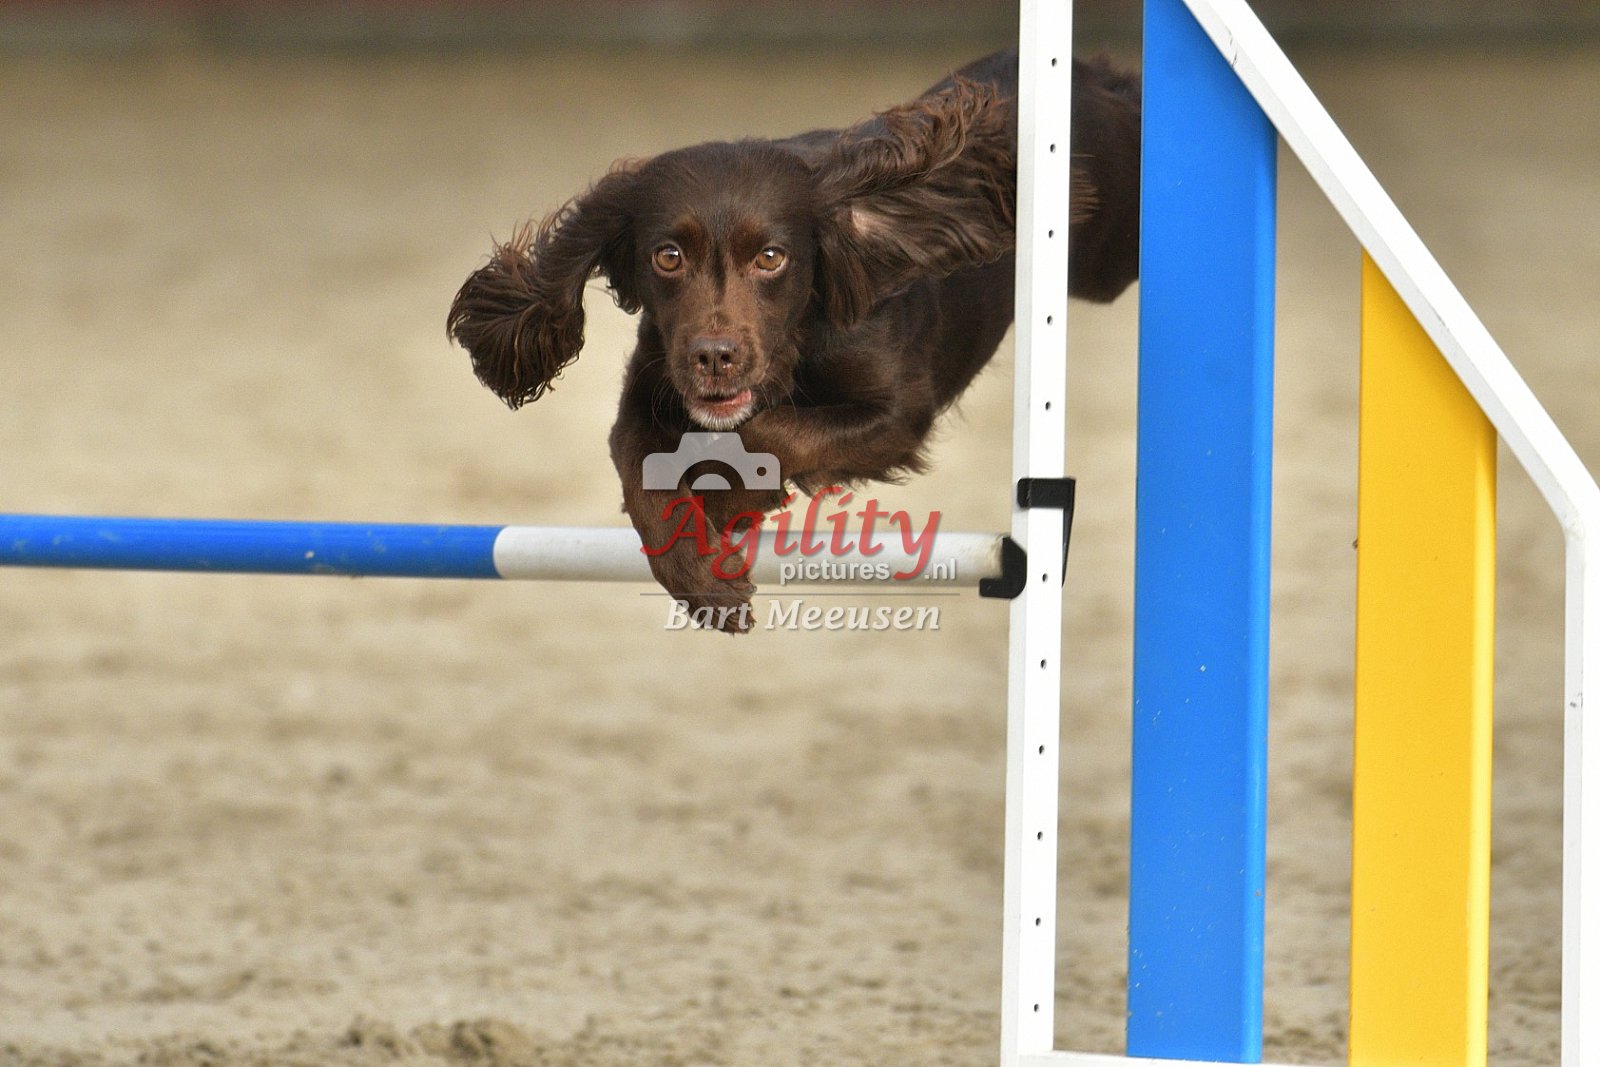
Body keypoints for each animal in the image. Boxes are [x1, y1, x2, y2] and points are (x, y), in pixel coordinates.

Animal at [448, 49, 1140, 631]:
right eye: (668, 256)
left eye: (771, 257)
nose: (715, 358)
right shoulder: (648, 391)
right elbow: (644, 473)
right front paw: (703, 581)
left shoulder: (898, 413)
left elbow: (771, 433)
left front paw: (726, 506)